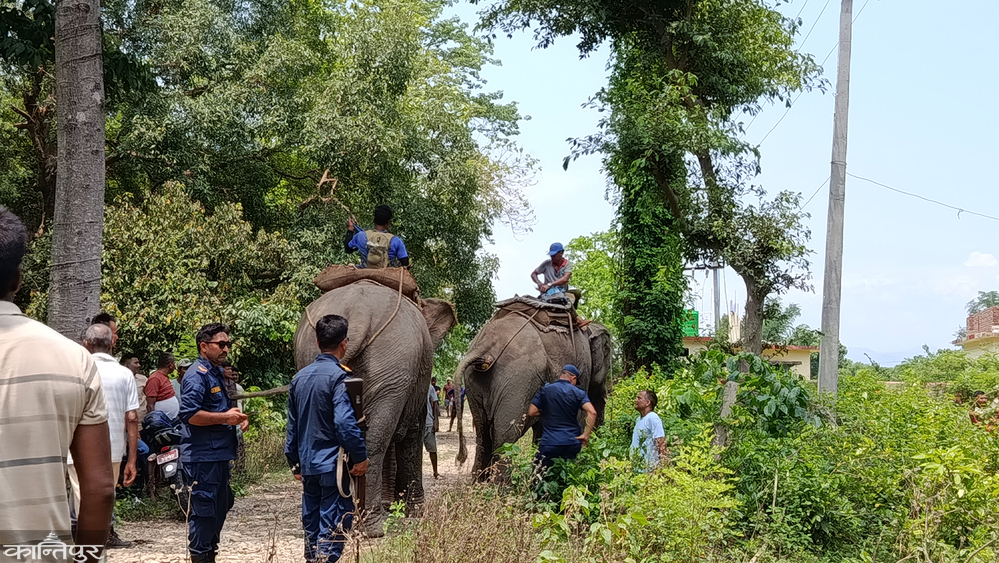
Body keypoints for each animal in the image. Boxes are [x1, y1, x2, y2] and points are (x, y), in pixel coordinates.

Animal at [293, 281, 455, 536]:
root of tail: (359, 313)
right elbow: (412, 433)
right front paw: (415, 512)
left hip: (316, 357)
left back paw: (343, 524)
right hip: (393, 364)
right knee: (375, 442)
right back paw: (372, 527)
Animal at [454, 298, 612, 476]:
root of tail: (485, 347)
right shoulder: (582, 366)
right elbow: (577, 417)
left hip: (474, 382)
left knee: (483, 436)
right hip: (518, 379)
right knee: (505, 438)